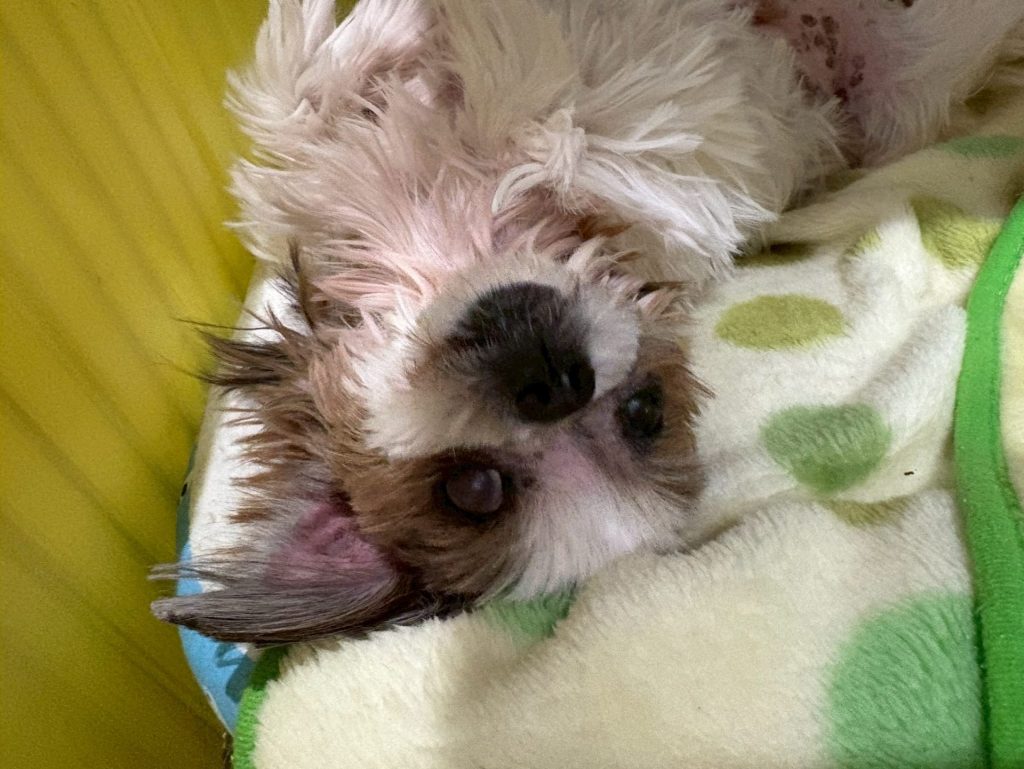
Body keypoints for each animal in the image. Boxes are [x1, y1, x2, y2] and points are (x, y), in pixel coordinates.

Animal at [152, 0, 1022, 643]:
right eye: (475, 489)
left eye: (643, 410)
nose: (553, 382)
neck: (458, 230)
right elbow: (330, 97)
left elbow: (524, 101)